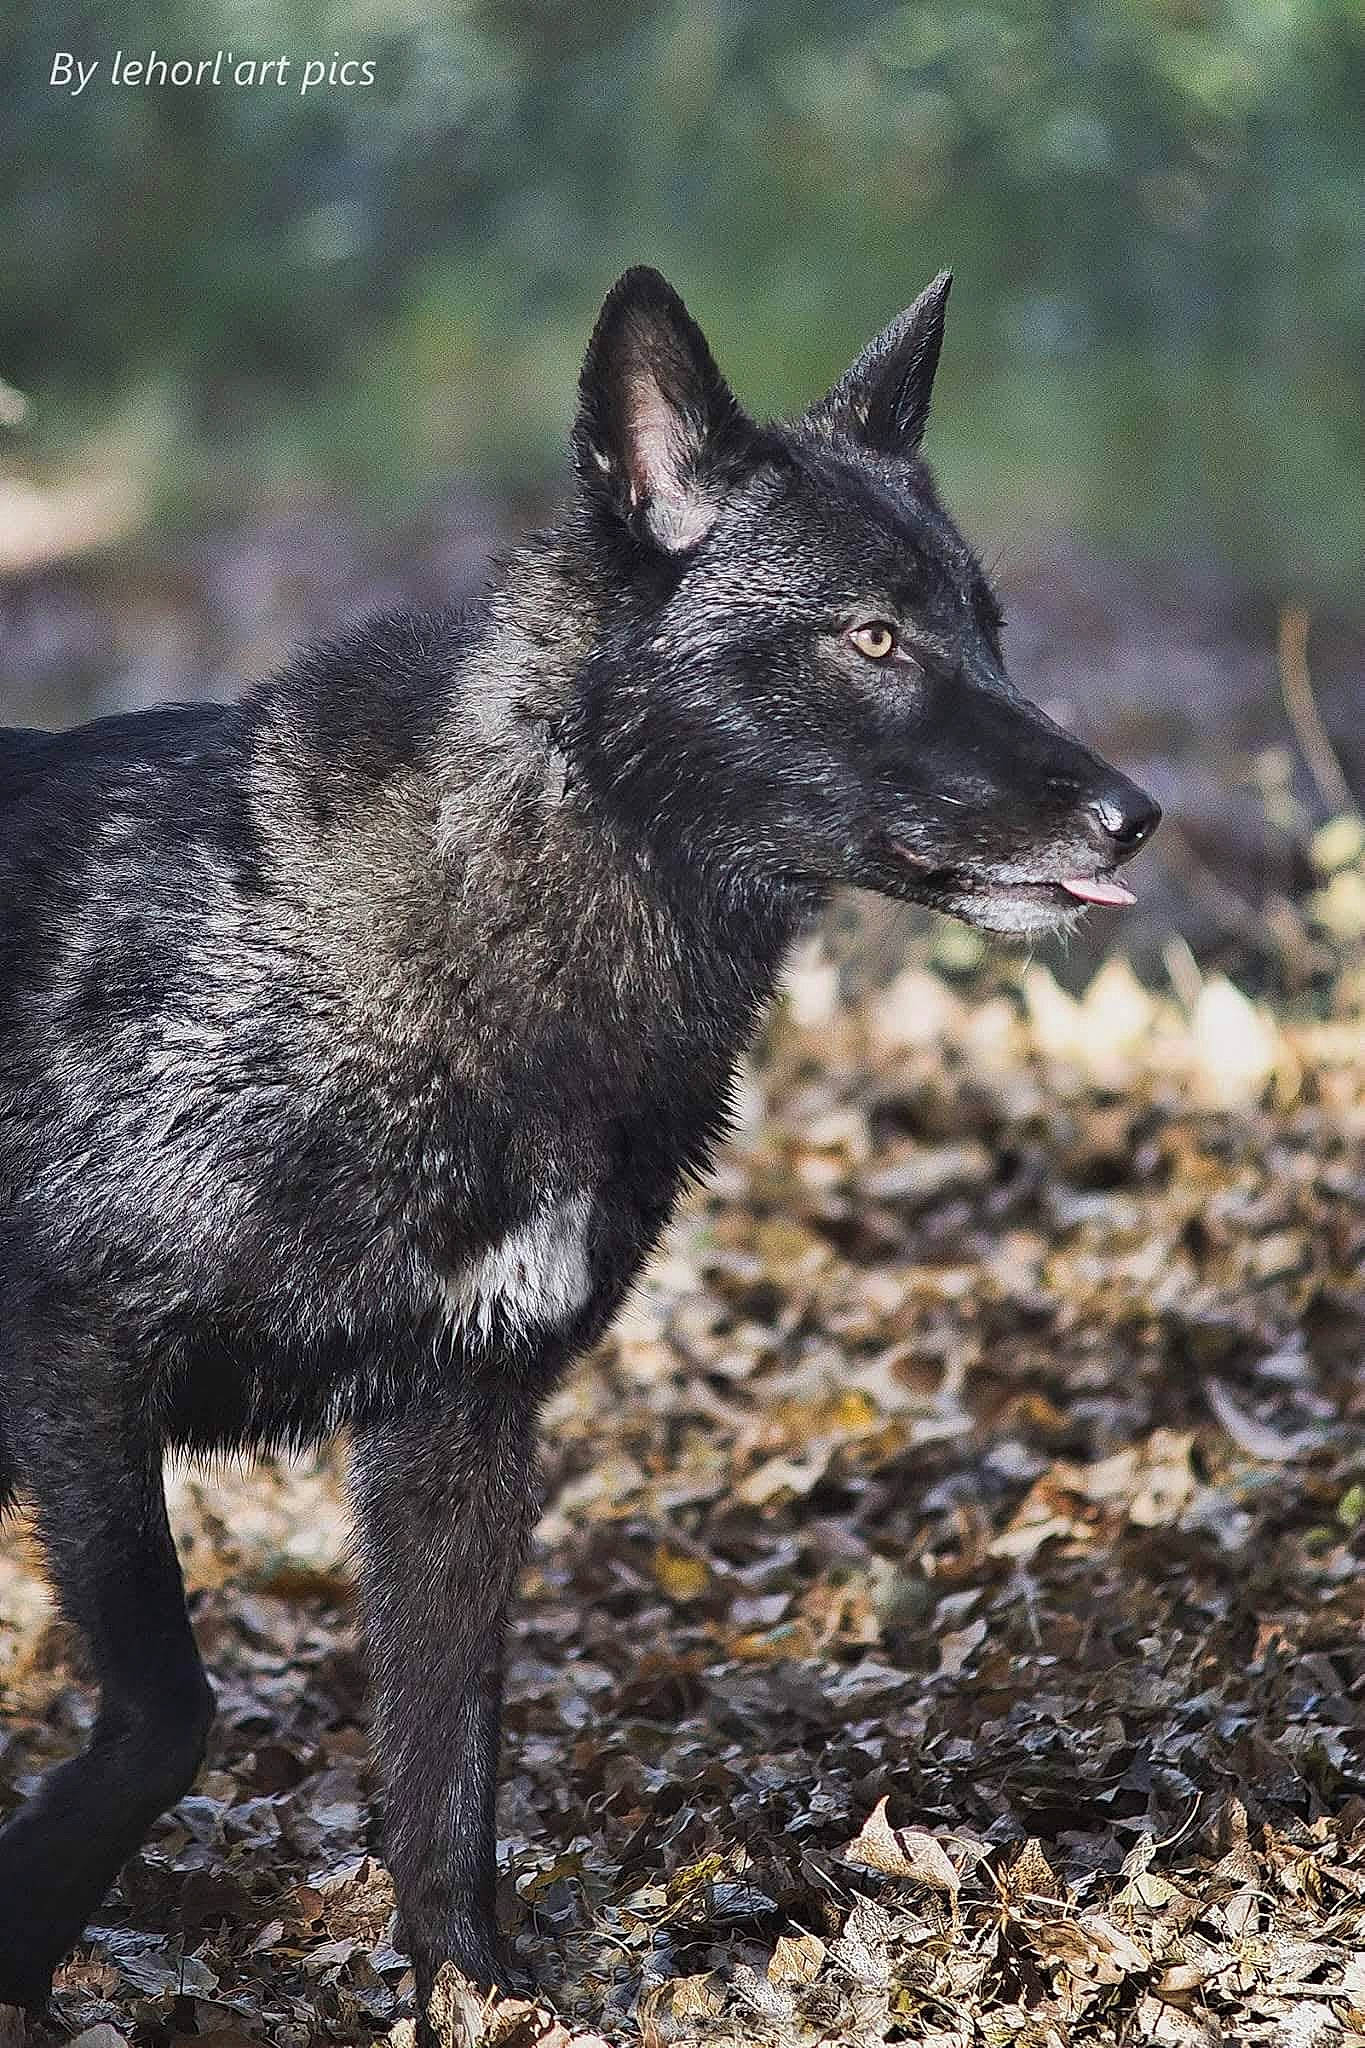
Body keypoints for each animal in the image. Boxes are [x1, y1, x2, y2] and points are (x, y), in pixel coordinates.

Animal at [0, 267, 1158, 2038]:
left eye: (991, 633)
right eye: (871, 636)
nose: (1131, 817)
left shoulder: (464, 1433)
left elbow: (449, 1776)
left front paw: (480, 1994)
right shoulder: (76, 1369)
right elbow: (168, 1715)